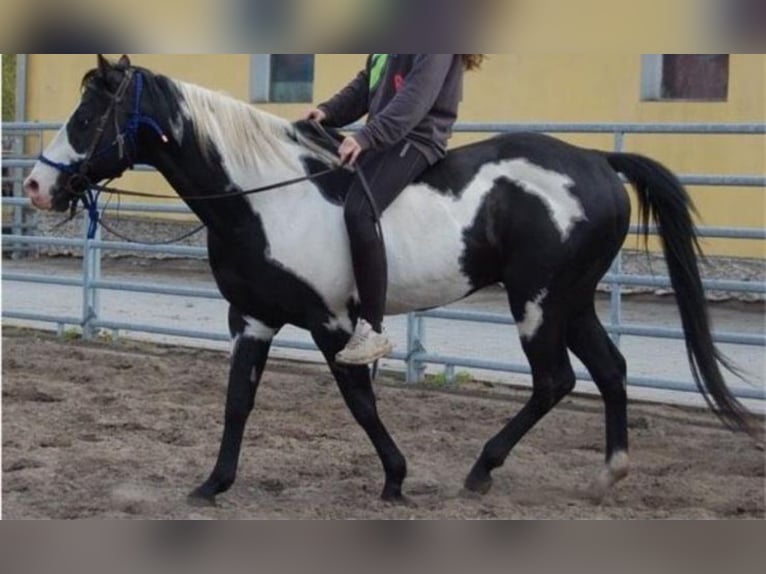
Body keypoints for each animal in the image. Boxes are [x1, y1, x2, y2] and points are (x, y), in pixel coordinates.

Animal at [25, 55, 751, 506]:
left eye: (88, 117)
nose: (34, 185)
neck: (265, 199)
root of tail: (598, 161)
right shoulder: (252, 319)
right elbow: (237, 401)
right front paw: (212, 485)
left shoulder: (332, 324)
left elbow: (360, 400)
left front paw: (396, 480)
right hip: (571, 301)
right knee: (610, 371)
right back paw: (607, 476)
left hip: (539, 301)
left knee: (555, 381)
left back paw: (482, 470)